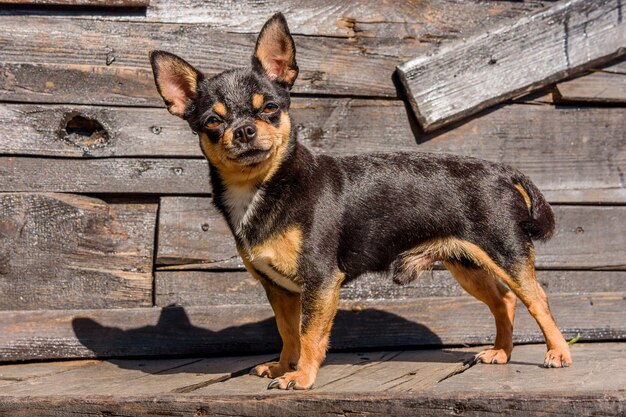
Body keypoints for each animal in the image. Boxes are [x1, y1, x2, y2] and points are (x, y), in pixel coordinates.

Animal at [150, 13, 572, 390]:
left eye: (270, 108)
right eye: (212, 122)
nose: (243, 131)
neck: (264, 186)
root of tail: (502, 170)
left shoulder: (319, 281)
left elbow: (309, 333)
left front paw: (300, 377)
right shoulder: (280, 289)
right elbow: (287, 331)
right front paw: (283, 366)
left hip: (505, 254)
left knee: (538, 300)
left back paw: (558, 353)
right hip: (467, 264)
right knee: (505, 302)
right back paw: (502, 352)